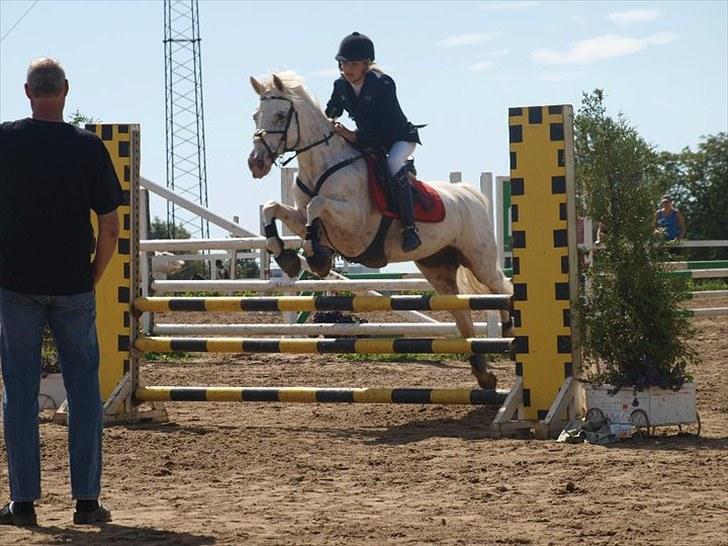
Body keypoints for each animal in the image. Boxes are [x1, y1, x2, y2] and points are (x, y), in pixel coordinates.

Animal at [249, 71, 512, 386]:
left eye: (279, 115)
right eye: (255, 116)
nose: (256, 163)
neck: (321, 166)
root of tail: (467, 193)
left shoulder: (354, 225)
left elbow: (317, 205)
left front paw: (316, 257)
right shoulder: (301, 218)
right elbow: (273, 207)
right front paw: (286, 256)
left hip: (479, 259)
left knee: (502, 288)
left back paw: (510, 336)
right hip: (438, 267)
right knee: (462, 315)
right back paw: (483, 374)